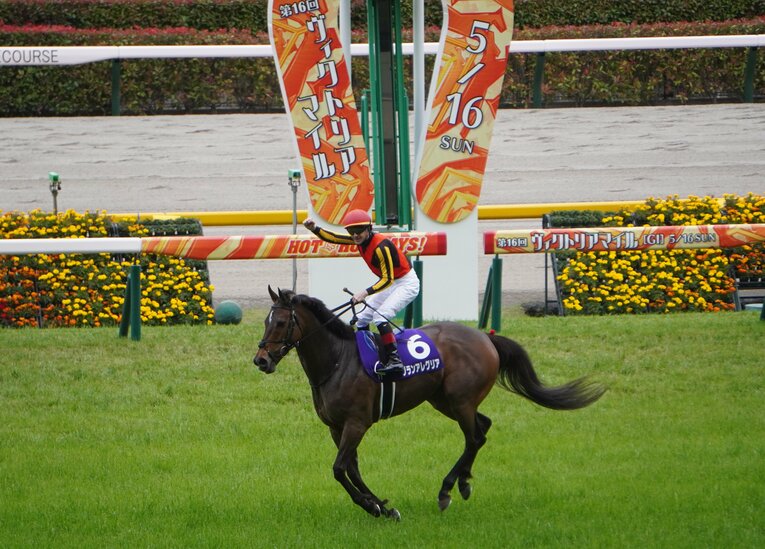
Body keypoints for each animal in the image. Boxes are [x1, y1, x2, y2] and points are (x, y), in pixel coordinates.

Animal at [253, 286, 605, 519]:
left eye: (281, 323)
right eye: (265, 322)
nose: (261, 360)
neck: (338, 361)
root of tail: (485, 337)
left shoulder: (357, 423)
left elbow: (340, 469)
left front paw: (374, 506)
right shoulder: (336, 427)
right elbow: (351, 468)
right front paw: (380, 505)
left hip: (460, 400)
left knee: (474, 436)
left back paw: (447, 490)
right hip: (443, 400)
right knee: (483, 428)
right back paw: (463, 482)